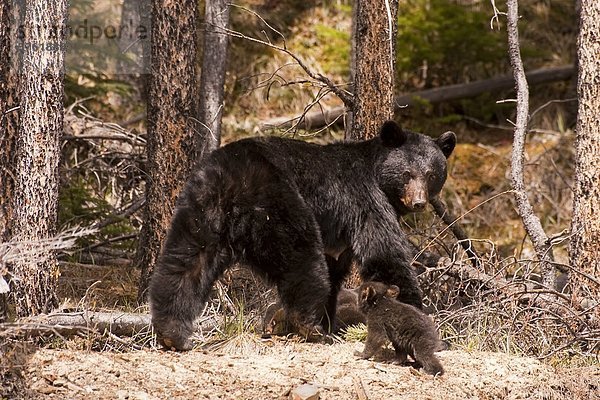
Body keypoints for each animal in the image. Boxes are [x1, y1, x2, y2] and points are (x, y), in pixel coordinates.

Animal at [150, 120, 454, 348]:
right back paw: (310, 326)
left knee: (185, 261)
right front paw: (419, 317)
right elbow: (384, 253)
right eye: (407, 173)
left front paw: (333, 320)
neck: (377, 175)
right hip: (280, 204)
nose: (419, 202)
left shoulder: (340, 238)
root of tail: (232, 177)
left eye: (431, 174)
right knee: (302, 258)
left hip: (201, 206)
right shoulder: (365, 200)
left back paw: (171, 331)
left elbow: (337, 269)